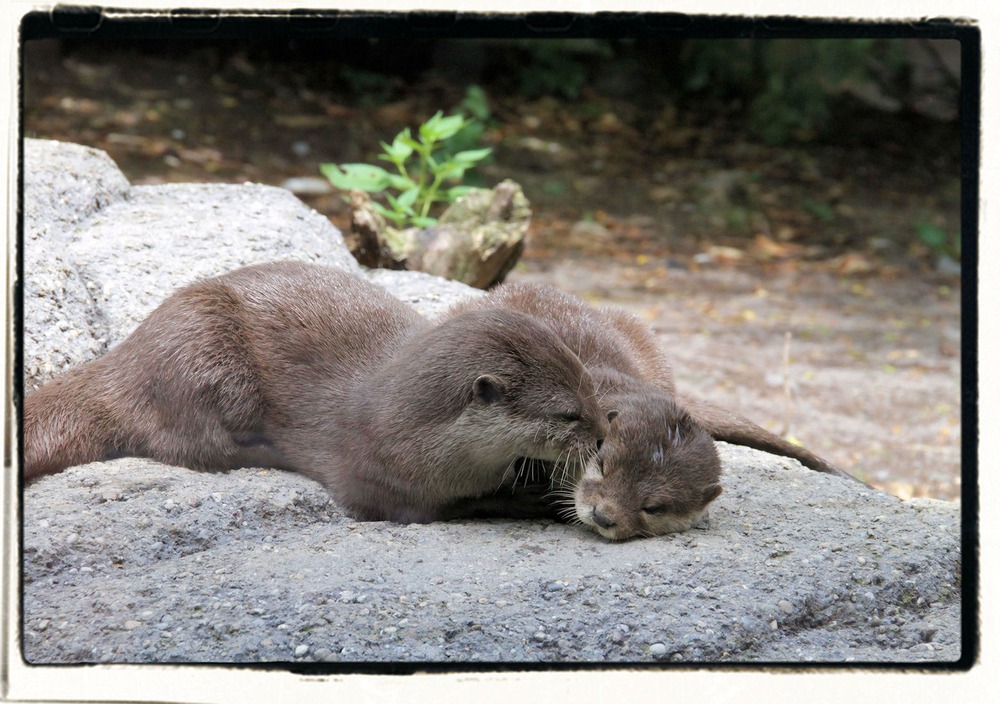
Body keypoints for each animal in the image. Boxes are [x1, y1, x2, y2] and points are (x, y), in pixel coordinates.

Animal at [23, 260, 608, 524]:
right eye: (568, 414)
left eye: (592, 391)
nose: (605, 436)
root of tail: (125, 358)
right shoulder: (377, 482)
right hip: (200, 356)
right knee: (191, 444)